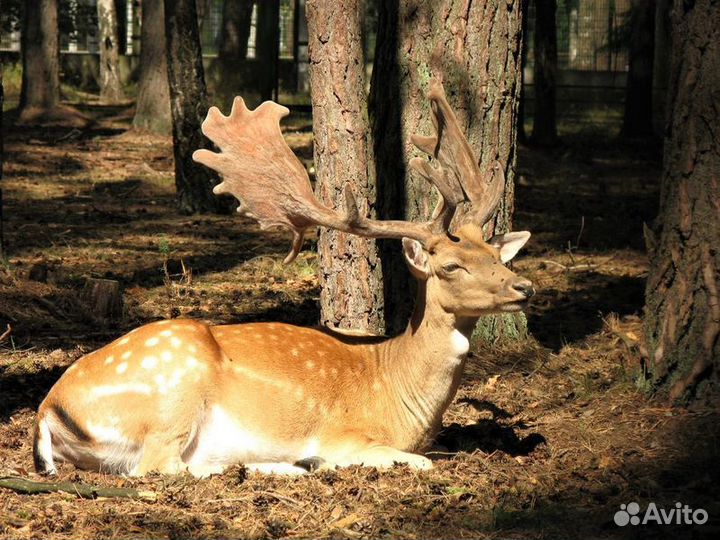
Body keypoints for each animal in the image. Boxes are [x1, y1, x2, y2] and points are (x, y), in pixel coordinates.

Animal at [33, 78, 536, 474]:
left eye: (495, 253)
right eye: (451, 266)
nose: (524, 287)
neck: (397, 395)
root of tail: (47, 409)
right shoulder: (345, 433)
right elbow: (421, 461)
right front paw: (323, 459)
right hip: (173, 390)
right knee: (160, 467)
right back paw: (289, 465)